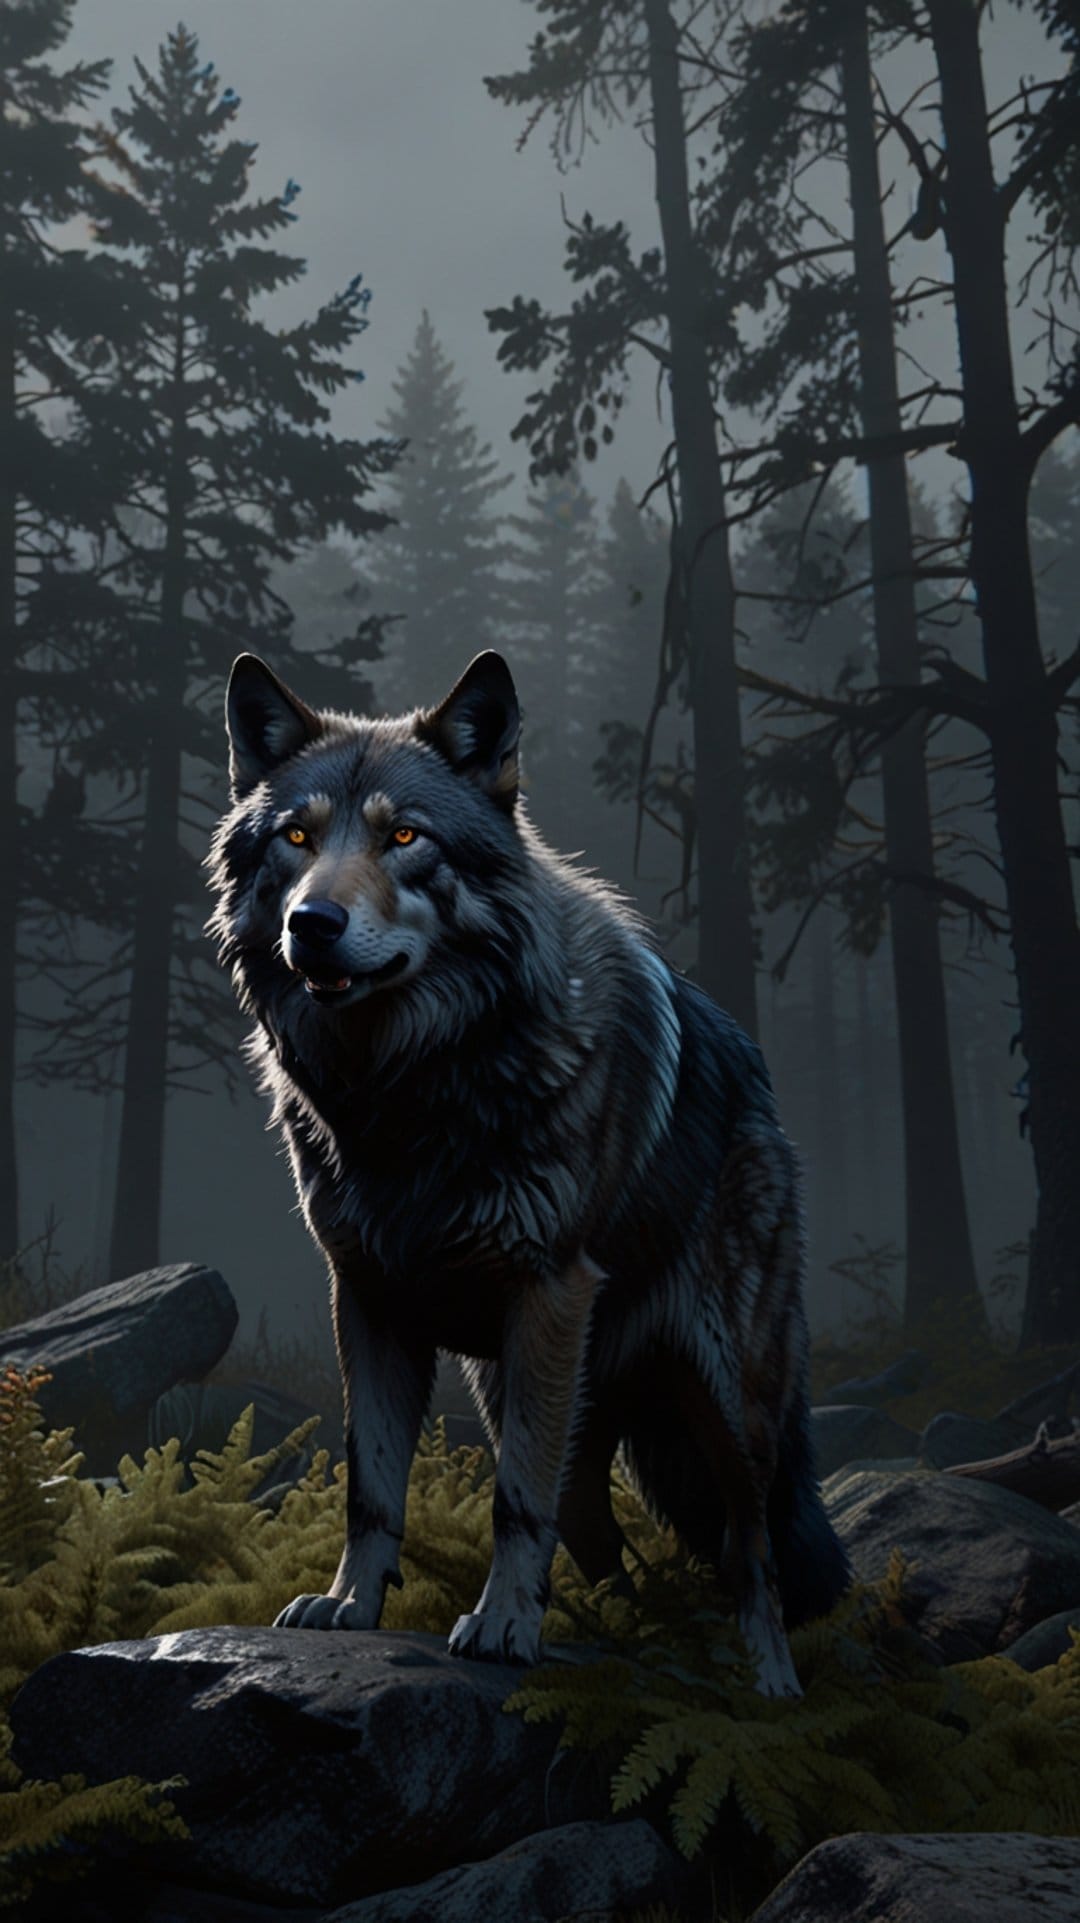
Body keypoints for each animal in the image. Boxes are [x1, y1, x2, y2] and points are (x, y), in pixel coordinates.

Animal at [207, 648, 849, 1697]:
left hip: (720, 1401)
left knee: (748, 1548)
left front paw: (504, 1626)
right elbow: (371, 1482)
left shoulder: (550, 1288)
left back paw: (769, 1684)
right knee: (601, 1538)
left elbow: (513, 1502)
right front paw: (350, 1607)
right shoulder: (367, 1298)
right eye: (297, 837)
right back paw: (626, 1642)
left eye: (405, 836)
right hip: (528, 1394)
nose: (312, 922)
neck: (406, 1090)